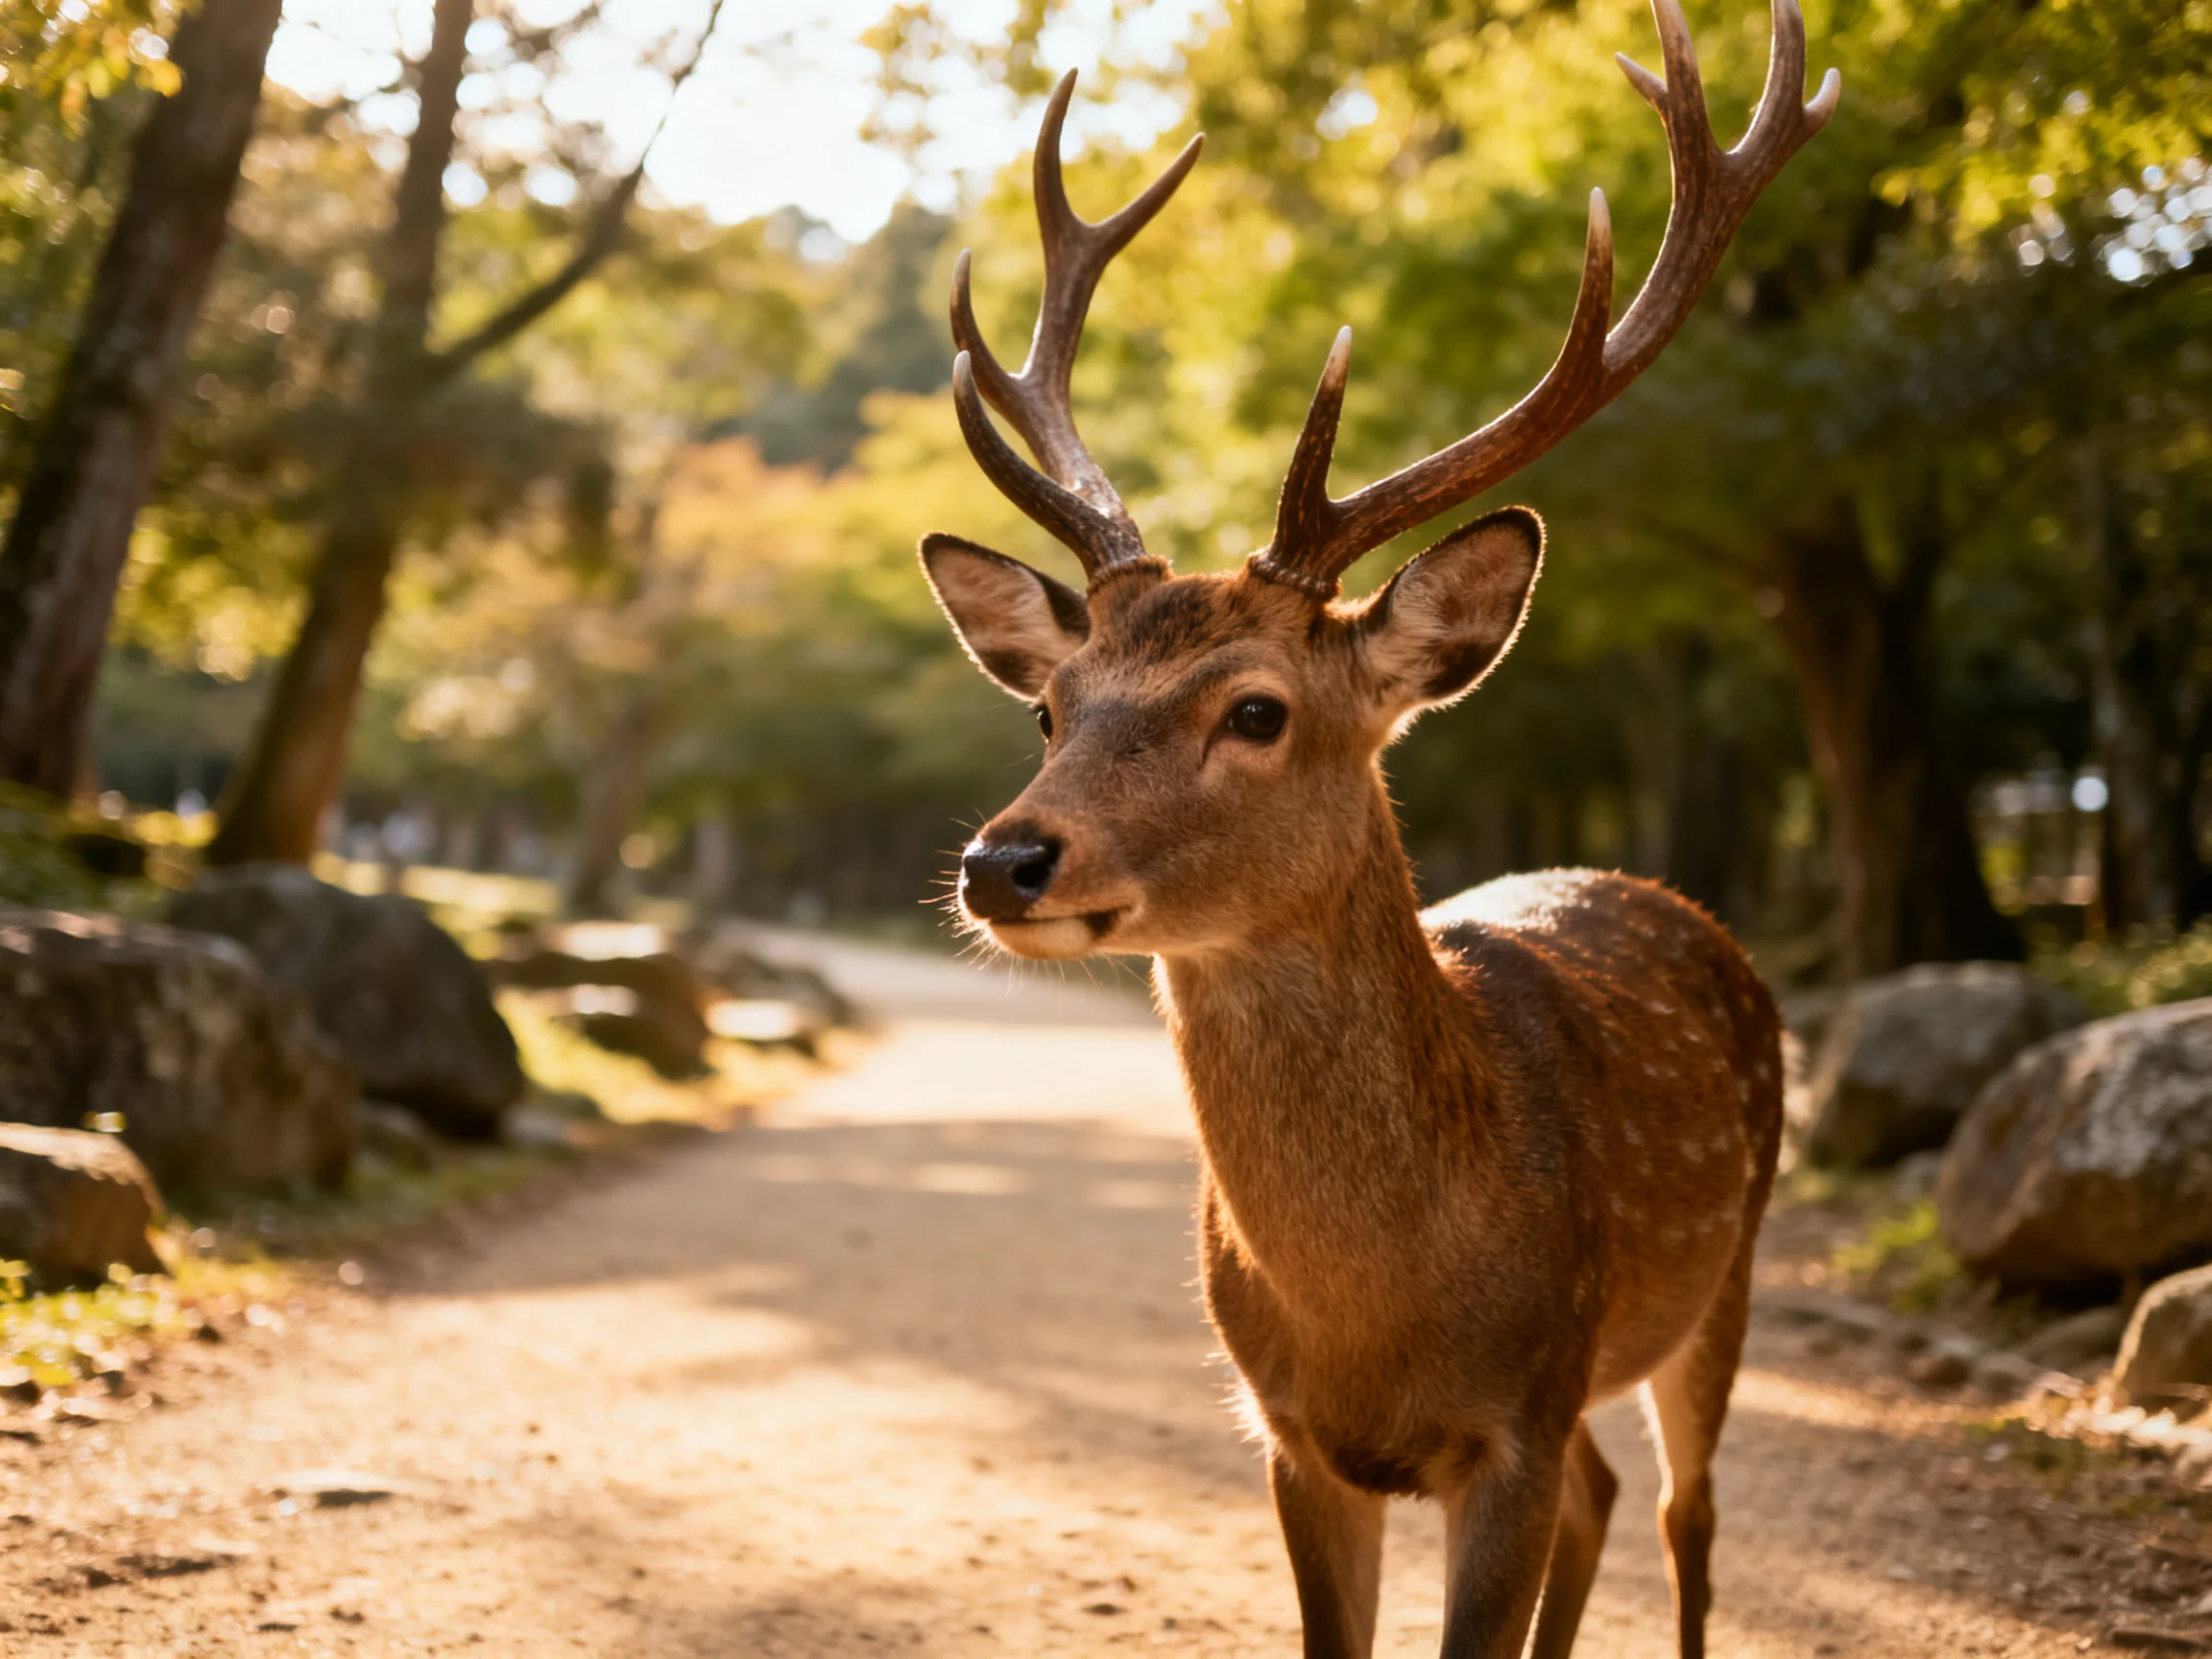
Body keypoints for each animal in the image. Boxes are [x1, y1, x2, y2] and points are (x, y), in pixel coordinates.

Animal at [919, 4, 1836, 1654]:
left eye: (1257, 711)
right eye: (1049, 708)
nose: (1003, 860)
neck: (1386, 1315)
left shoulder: (1521, 1411)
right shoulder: (1291, 1437)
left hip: (1722, 1273)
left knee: (1688, 1517)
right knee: (1613, 1494)